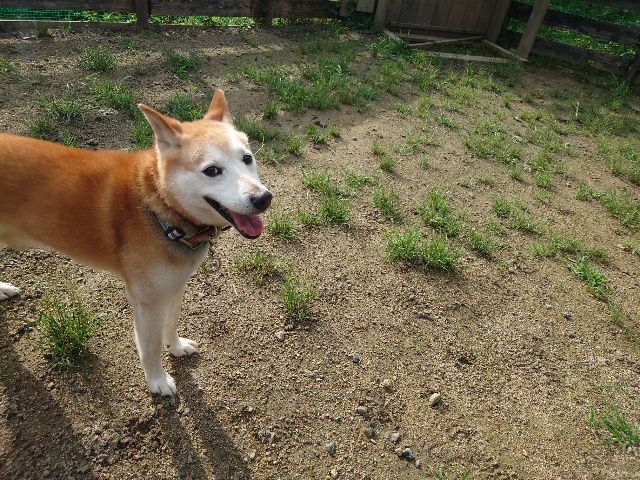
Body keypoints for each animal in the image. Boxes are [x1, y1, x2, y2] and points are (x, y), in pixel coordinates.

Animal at [0, 89, 271, 395]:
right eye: (212, 170)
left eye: (247, 158)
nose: (263, 198)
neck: (160, 210)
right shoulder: (147, 302)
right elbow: (150, 348)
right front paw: (158, 381)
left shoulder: (175, 285)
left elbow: (171, 324)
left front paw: (176, 347)